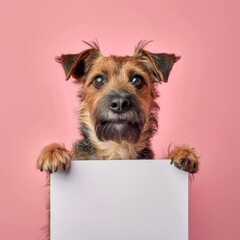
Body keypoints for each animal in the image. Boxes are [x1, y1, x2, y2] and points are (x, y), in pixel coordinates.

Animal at [37, 40, 199, 237]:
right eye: (98, 80)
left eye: (137, 80)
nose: (120, 103)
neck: (116, 149)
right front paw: (53, 152)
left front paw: (184, 153)